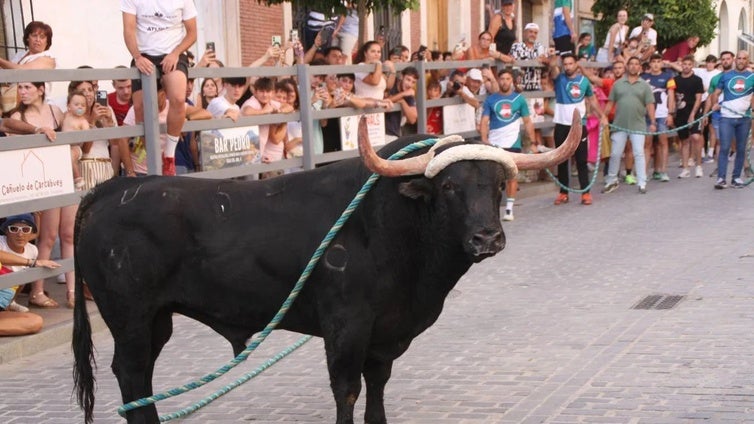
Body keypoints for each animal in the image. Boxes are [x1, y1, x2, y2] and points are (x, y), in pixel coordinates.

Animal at [72, 119, 576, 424]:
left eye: (498, 185)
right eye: (450, 186)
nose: (487, 237)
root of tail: (114, 187)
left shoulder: (385, 333)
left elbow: (377, 385)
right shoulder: (346, 326)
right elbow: (347, 389)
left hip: (157, 319)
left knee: (140, 380)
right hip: (130, 317)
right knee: (131, 374)